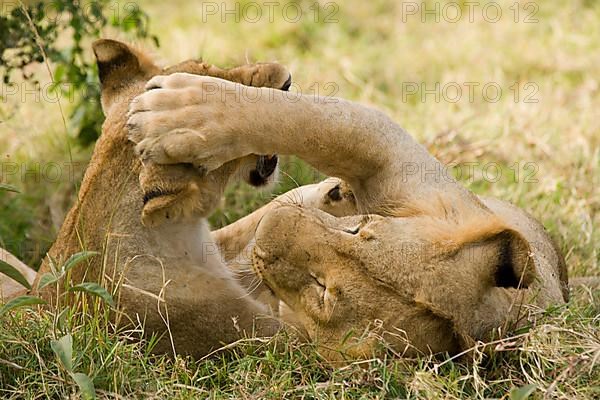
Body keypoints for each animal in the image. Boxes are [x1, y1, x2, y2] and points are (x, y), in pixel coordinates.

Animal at [126, 71, 568, 360]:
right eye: (360, 230)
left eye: (323, 292)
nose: (274, 227)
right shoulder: (407, 171)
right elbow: (324, 121)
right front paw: (175, 111)